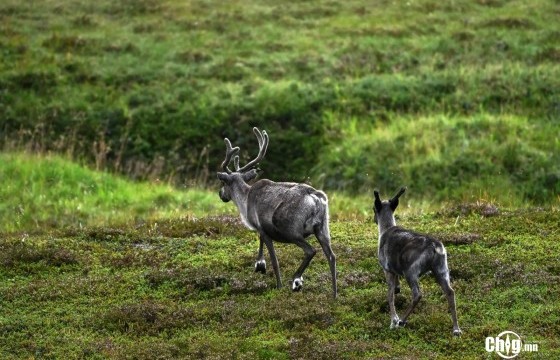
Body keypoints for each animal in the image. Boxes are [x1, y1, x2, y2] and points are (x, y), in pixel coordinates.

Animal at [374, 187, 462, 336]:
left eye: (373, 208)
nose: (374, 219)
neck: (385, 229)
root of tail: (435, 247)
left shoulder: (387, 269)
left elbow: (390, 295)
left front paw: (393, 321)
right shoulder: (395, 270)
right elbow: (395, 289)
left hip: (411, 271)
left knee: (417, 294)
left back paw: (402, 321)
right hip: (441, 269)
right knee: (450, 292)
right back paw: (456, 329)